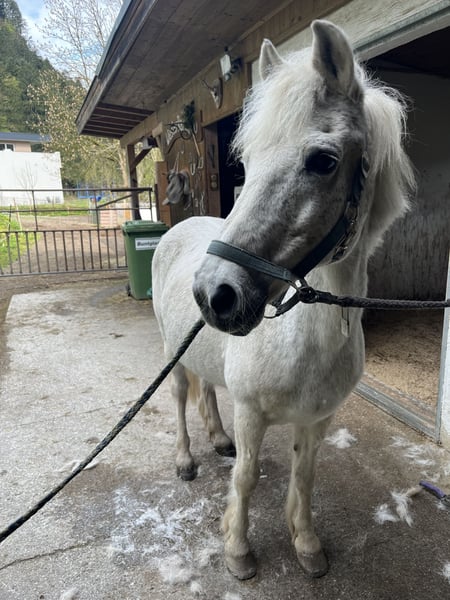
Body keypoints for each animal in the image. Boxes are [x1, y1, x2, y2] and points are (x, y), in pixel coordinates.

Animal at [152, 19, 415, 580]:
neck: (306, 344)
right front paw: (238, 551)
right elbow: (247, 479)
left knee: (208, 391)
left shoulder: (316, 421)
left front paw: (307, 544)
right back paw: (186, 459)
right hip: (171, 352)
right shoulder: (252, 414)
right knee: (181, 396)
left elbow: (306, 476)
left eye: (324, 161)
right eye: (245, 163)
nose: (215, 293)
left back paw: (217, 439)